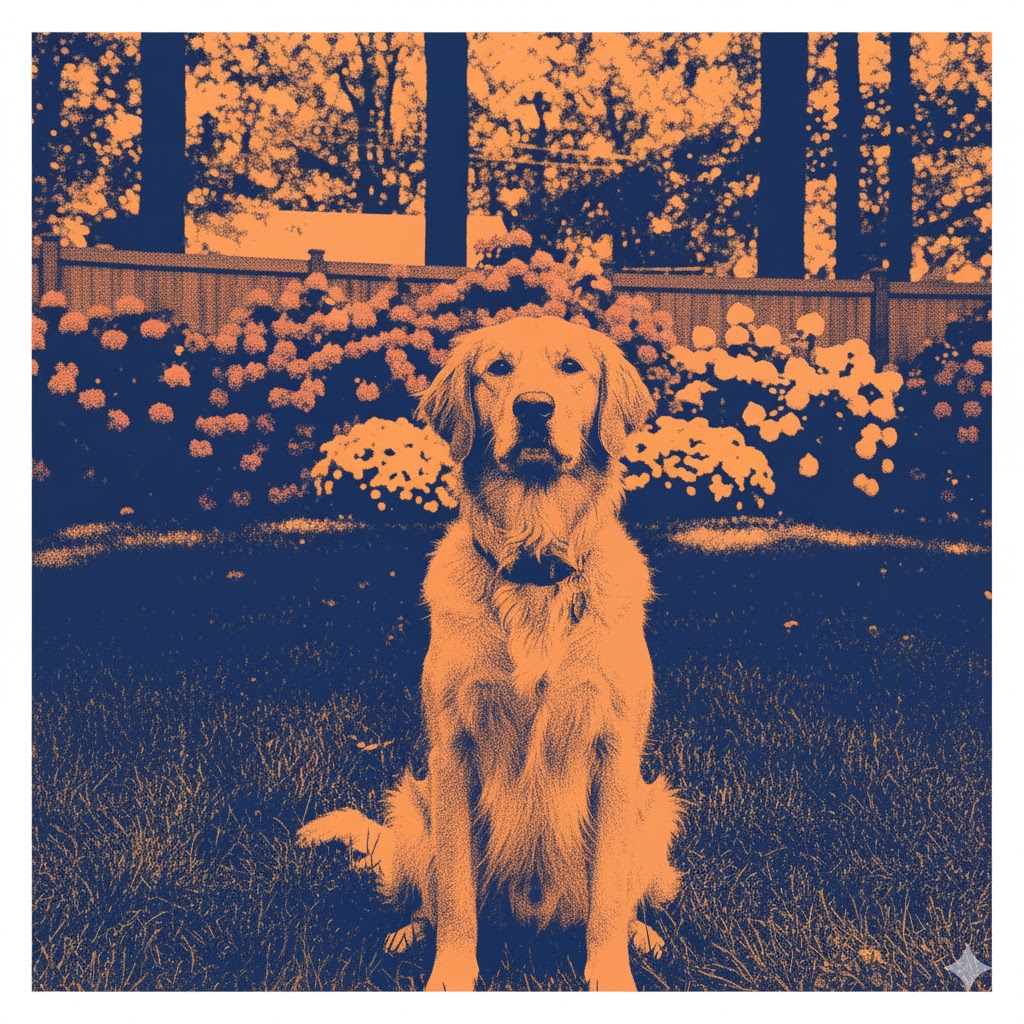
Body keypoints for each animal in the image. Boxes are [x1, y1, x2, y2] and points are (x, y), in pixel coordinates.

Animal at [298, 314, 681, 991]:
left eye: (571, 367)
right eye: (498, 368)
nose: (534, 408)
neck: (535, 567)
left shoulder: (615, 749)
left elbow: (609, 897)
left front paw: (612, 976)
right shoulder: (452, 748)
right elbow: (454, 893)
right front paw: (450, 976)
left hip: (652, 809)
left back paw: (644, 935)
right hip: (415, 806)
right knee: (427, 895)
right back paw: (408, 934)